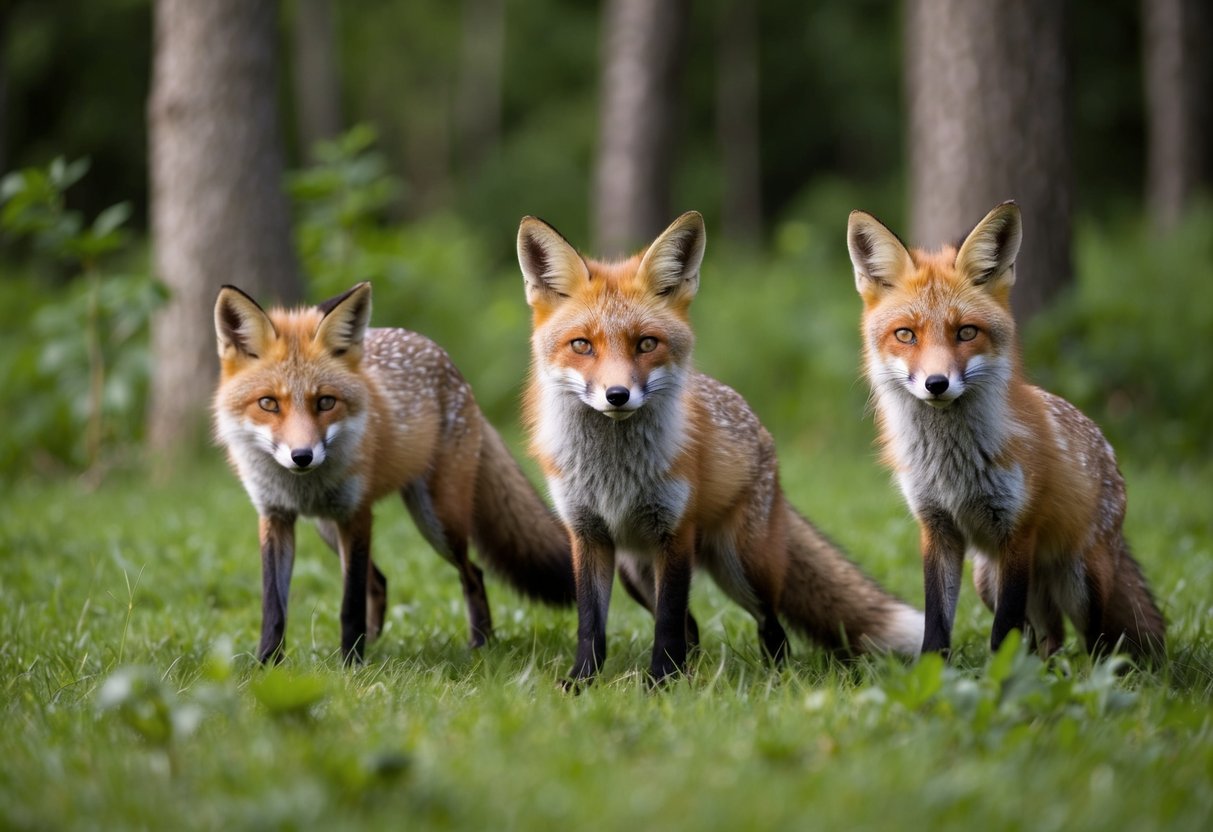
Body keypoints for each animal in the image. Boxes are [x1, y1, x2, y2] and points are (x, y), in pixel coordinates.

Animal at [212, 281, 575, 664]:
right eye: (268, 403)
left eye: (325, 402)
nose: (302, 456)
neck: (302, 488)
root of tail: (450, 364)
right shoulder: (275, 516)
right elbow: (274, 608)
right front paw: (267, 664)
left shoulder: (357, 515)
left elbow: (350, 605)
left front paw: (351, 666)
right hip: (327, 528)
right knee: (380, 581)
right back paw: (374, 643)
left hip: (439, 520)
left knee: (472, 573)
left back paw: (480, 645)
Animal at [516, 210, 924, 684]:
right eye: (581, 345)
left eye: (646, 343)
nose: (617, 395)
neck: (614, 472)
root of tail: (762, 432)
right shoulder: (587, 536)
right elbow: (591, 624)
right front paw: (583, 682)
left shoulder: (675, 532)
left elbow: (668, 623)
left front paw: (660, 684)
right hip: (636, 574)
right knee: (692, 626)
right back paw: (692, 670)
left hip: (740, 564)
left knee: (770, 625)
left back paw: (772, 678)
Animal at [847, 201, 1166, 662]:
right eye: (905, 334)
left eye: (966, 332)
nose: (936, 384)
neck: (953, 467)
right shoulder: (936, 529)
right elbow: (937, 623)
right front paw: (933, 674)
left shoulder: (1018, 531)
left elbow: (1004, 632)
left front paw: (1000, 679)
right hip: (987, 578)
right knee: (1049, 636)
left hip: (1080, 579)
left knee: (1096, 643)